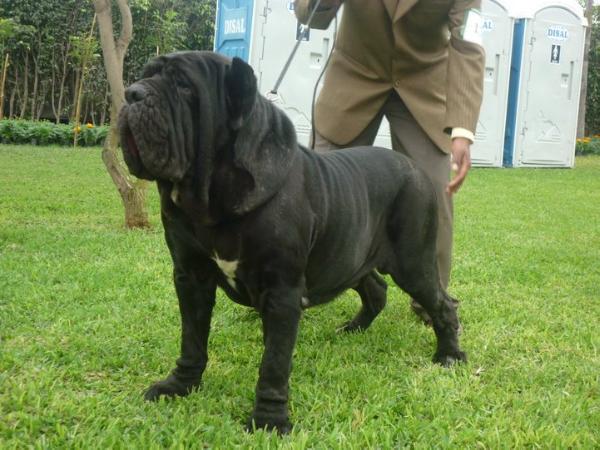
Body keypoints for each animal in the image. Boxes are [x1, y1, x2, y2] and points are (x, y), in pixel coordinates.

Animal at [117, 51, 464, 434]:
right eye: (145, 74)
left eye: (183, 85)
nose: (131, 93)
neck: (211, 197)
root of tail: (413, 167)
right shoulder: (190, 276)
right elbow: (192, 339)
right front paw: (179, 385)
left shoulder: (281, 289)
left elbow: (274, 362)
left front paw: (269, 419)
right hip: (350, 255)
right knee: (375, 289)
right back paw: (352, 329)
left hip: (412, 261)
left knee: (442, 302)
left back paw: (449, 355)